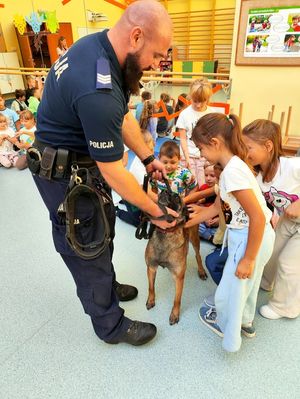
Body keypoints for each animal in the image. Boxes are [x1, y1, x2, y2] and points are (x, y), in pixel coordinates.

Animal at [145, 187, 206, 324]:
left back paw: (201, 271)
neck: (166, 233)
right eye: (163, 190)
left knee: (198, 256)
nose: (164, 191)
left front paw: (175, 314)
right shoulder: (151, 267)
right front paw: (151, 300)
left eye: (177, 197)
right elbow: (151, 287)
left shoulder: (178, 278)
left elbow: (177, 300)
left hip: (195, 239)